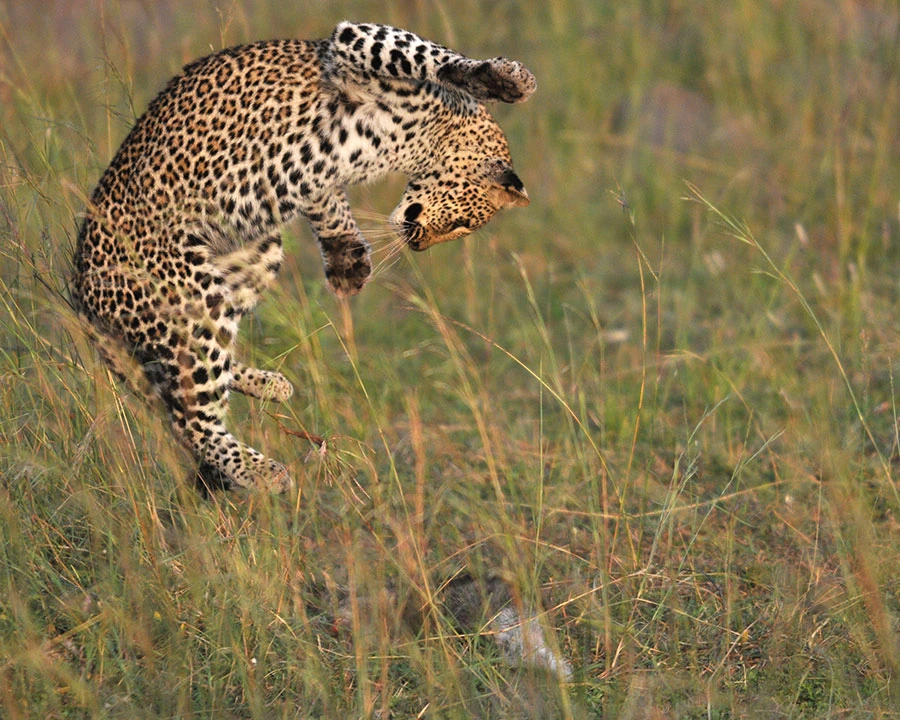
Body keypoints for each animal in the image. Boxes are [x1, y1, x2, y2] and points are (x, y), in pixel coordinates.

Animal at [72, 21, 535, 494]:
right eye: (465, 223)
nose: (419, 246)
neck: (424, 141)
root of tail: (80, 291)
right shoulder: (354, 41)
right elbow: (425, 52)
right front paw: (507, 80)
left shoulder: (319, 176)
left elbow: (329, 204)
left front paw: (349, 263)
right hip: (190, 297)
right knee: (189, 416)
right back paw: (263, 472)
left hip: (251, 259)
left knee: (195, 373)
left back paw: (269, 386)